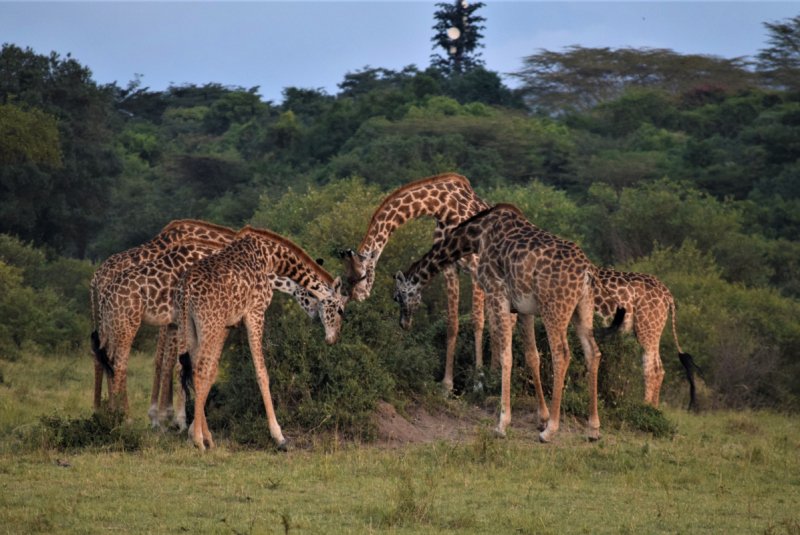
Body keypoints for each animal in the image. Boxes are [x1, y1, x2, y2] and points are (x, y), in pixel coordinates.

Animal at [175, 226, 348, 451]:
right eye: (340, 310)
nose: (333, 339)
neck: (272, 257)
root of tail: (186, 288)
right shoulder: (255, 312)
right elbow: (261, 372)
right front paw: (279, 436)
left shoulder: (228, 324)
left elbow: (213, 373)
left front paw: (205, 435)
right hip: (209, 325)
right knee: (198, 371)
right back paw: (198, 440)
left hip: (189, 325)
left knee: (190, 370)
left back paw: (200, 436)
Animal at [340, 173, 491, 391]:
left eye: (359, 277)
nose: (358, 296)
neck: (443, 207)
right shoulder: (449, 269)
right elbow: (452, 323)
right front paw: (446, 385)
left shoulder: (476, 266)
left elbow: (478, 321)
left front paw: (478, 383)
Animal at [393, 204, 621, 442]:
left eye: (397, 296)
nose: (404, 323)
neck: (476, 236)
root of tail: (587, 270)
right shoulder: (524, 309)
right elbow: (532, 356)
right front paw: (541, 417)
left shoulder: (497, 294)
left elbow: (506, 355)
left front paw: (503, 424)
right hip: (583, 309)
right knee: (592, 352)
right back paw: (593, 429)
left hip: (554, 309)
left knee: (561, 354)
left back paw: (551, 430)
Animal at [594, 268, 697, 408]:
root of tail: (668, 296)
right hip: (654, 331)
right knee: (659, 368)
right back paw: (654, 407)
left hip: (645, 329)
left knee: (651, 368)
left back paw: (645, 406)